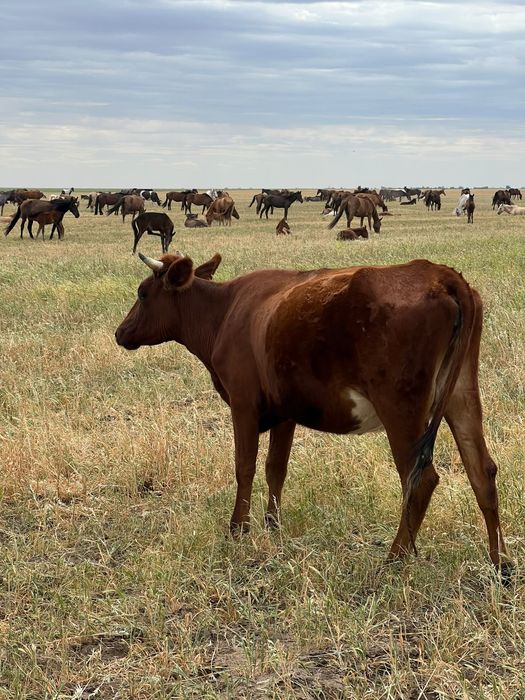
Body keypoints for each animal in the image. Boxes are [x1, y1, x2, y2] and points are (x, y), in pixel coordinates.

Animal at [115, 253, 511, 576]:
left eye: (143, 293)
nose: (121, 333)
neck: (225, 311)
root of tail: (439, 274)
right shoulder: (286, 412)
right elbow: (276, 468)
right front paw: (272, 526)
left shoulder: (243, 404)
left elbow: (245, 467)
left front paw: (238, 529)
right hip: (461, 394)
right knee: (481, 470)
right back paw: (500, 562)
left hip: (401, 409)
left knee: (421, 479)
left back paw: (394, 558)